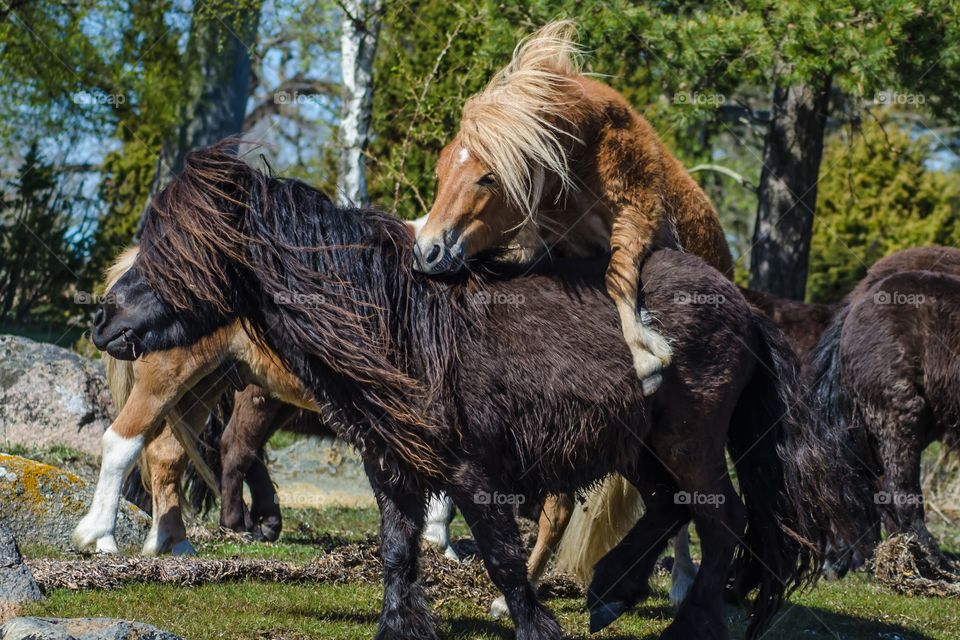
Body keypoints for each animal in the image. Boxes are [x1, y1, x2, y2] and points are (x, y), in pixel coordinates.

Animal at [94, 144, 868, 640]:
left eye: (172, 247)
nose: (104, 319)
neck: (400, 325)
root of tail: (739, 303)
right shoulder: (393, 464)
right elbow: (398, 550)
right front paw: (401, 627)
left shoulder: (474, 468)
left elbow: (498, 553)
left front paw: (533, 624)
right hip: (642, 445)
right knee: (671, 509)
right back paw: (610, 594)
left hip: (690, 439)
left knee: (720, 517)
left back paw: (686, 623)